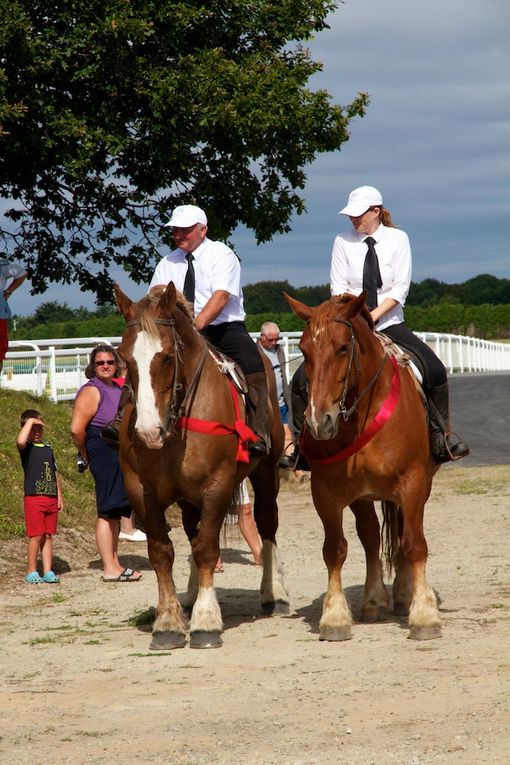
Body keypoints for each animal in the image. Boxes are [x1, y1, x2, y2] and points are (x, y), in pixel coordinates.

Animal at [116, 284, 290, 648]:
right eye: (125, 357)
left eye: (168, 356)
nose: (148, 432)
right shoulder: (140, 489)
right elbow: (162, 551)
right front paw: (168, 622)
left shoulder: (218, 484)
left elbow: (207, 547)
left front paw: (206, 621)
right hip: (187, 497)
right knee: (192, 528)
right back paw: (193, 595)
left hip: (266, 472)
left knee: (267, 524)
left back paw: (275, 593)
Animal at [286, 290, 442, 640]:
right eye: (302, 349)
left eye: (343, 347)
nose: (319, 422)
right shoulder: (325, 492)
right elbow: (335, 549)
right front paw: (334, 617)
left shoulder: (413, 482)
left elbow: (415, 544)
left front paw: (425, 616)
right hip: (362, 496)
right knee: (371, 538)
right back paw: (374, 601)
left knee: (403, 536)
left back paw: (405, 594)